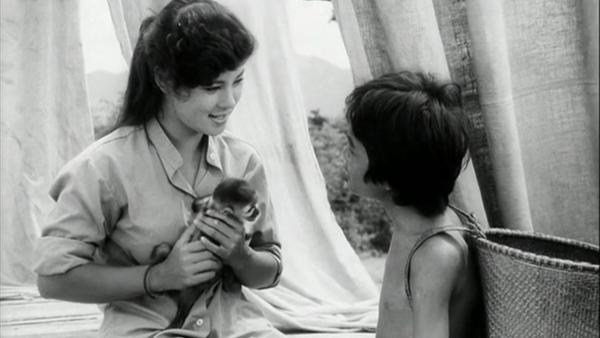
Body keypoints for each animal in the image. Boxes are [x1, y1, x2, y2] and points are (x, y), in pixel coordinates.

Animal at [150, 178, 260, 328]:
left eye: (256, 204)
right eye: (250, 209)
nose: (258, 212)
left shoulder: (210, 206)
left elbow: (197, 204)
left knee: (164, 248)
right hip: (189, 288)